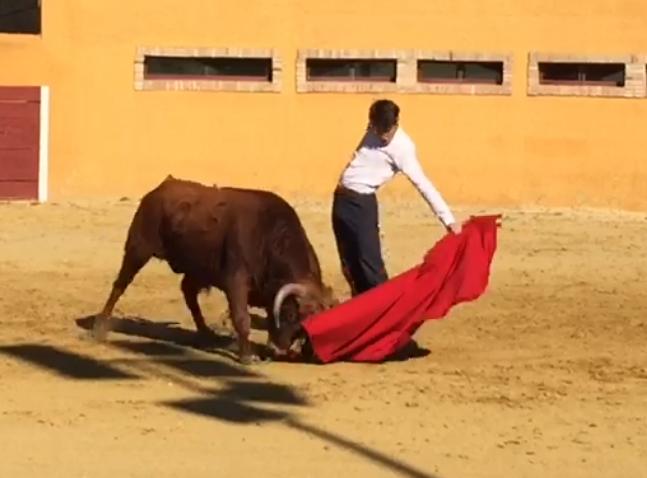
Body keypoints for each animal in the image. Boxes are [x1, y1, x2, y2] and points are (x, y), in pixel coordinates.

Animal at [92, 175, 337, 364]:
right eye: (291, 314)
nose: (279, 349)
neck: (270, 237)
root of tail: (162, 186)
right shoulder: (236, 281)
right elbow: (242, 318)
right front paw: (247, 357)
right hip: (138, 247)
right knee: (120, 285)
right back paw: (99, 328)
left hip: (197, 269)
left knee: (188, 292)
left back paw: (205, 333)